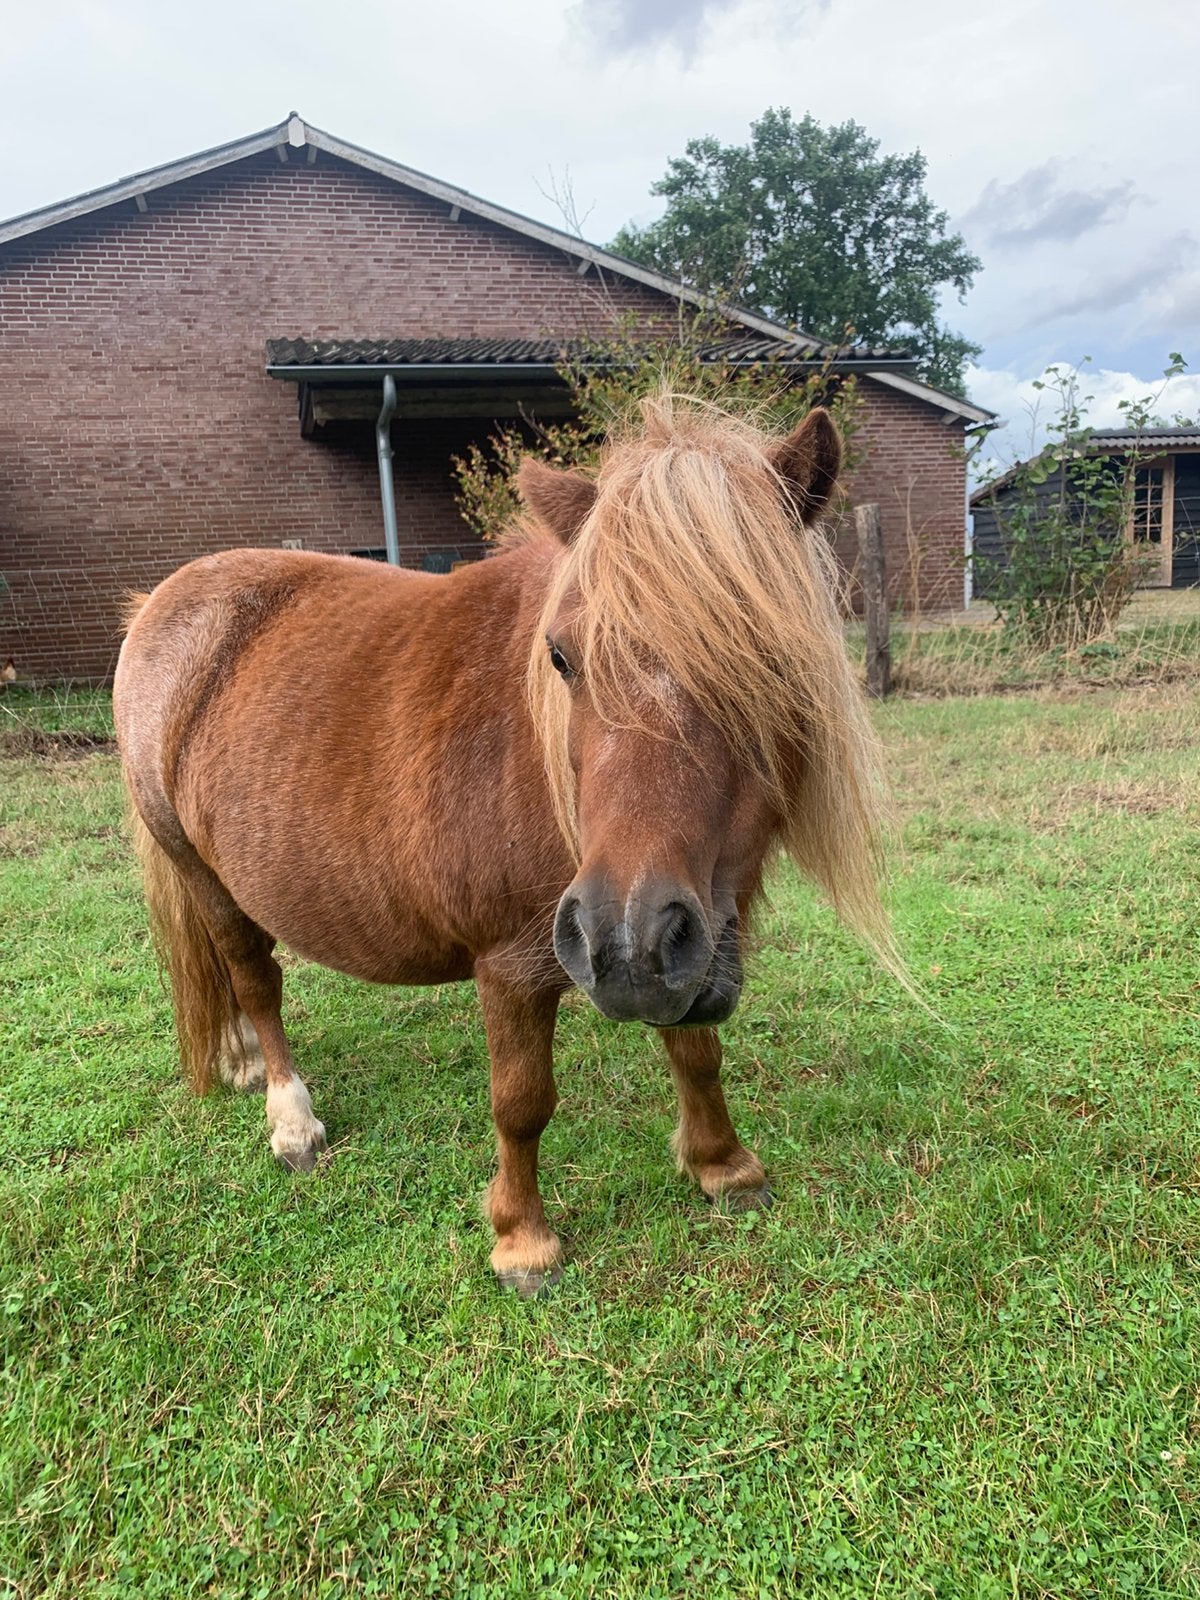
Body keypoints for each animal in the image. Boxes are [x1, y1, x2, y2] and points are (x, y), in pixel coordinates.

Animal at [114, 397, 893, 1297]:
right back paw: (290, 1117)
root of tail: (161, 604)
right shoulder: (515, 964)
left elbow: (697, 1049)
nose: (624, 935)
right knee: (253, 978)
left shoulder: (689, 938)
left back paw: (239, 1060)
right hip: (203, 874)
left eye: (766, 656)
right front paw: (522, 1239)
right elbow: (522, 1102)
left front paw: (722, 1165)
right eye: (562, 657)